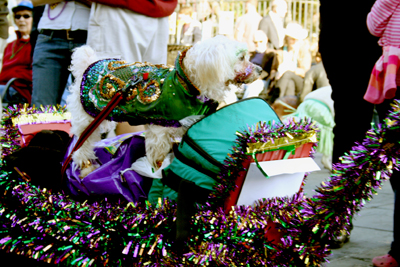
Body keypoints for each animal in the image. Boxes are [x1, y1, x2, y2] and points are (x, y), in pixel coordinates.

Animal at [67, 35, 260, 178]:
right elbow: (158, 151)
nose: (259, 70)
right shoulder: (160, 125)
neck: (187, 83)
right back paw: (86, 167)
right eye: (241, 57)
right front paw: (157, 169)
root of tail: (90, 63)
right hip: (87, 120)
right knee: (80, 146)